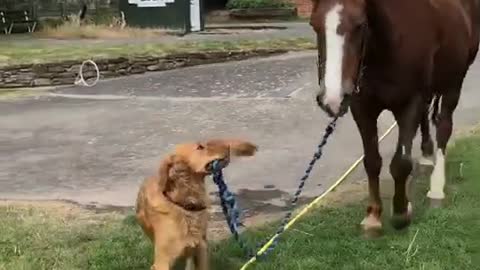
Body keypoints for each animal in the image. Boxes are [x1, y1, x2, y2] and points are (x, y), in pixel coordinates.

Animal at [310, 0, 478, 232]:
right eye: (314, 25)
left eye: (360, 25)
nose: (333, 99)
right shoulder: (362, 108)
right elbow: (372, 161)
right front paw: (373, 216)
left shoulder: (410, 103)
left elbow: (400, 163)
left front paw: (400, 213)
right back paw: (426, 156)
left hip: (454, 82)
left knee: (444, 127)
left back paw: (436, 189)